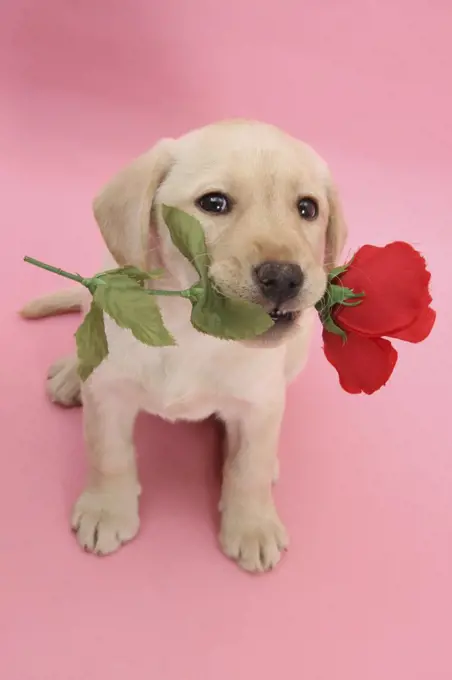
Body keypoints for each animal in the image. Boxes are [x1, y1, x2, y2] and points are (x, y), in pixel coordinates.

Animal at [21, 119, 348, 572]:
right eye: (214, 203)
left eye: (307, 209)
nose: (284, 277)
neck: (194, 332)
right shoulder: (109, 393)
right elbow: (109, 455)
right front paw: (108, 509)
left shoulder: (260, 404)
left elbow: (249, 467)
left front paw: (253, 526)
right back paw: (72, 374)